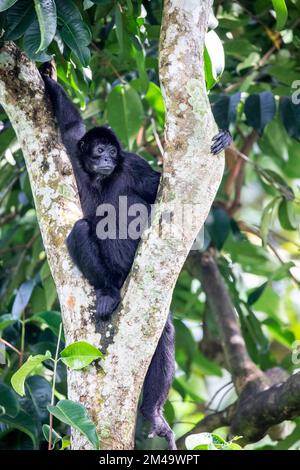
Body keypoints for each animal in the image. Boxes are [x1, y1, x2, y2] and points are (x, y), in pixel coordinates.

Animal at [39, 62, 232, 448]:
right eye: (98, 150)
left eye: (113, 153)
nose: (107, 159)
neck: (102, 179)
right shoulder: (74, 154)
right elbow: (69, 126)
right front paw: (47, 76)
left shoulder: (134, 166)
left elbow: (163, 192)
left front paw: (226, 141)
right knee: (80, 231)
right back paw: (108, 293)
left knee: (164, 329)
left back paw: (152, 415)